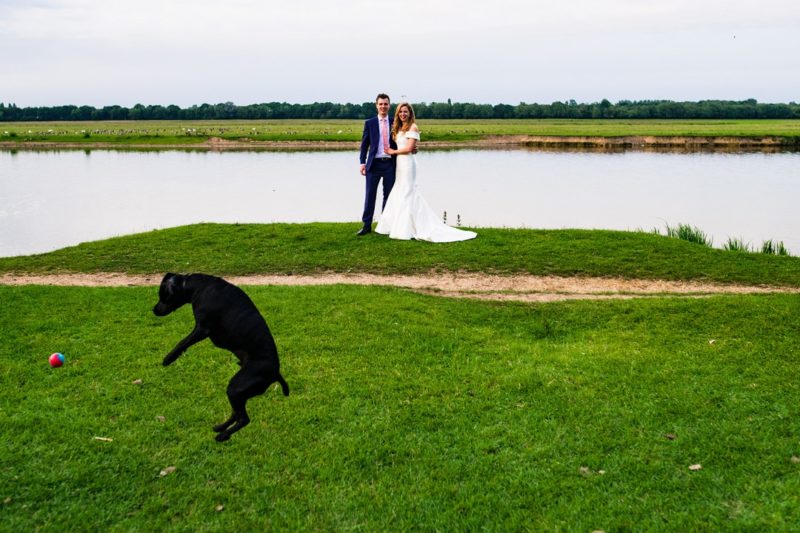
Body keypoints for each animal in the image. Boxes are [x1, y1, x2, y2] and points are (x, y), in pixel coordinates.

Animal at [152, 272, 288, 438]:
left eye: (163, 296)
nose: (154, 309)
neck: (194, 285)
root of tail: (276, 373)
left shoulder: (202, 329)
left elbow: (182, 342)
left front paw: (168, 359)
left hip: (235, 387)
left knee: (244, 419)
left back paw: (222, 436)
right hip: (239, 393)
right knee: (237, 414)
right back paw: (220, 428)